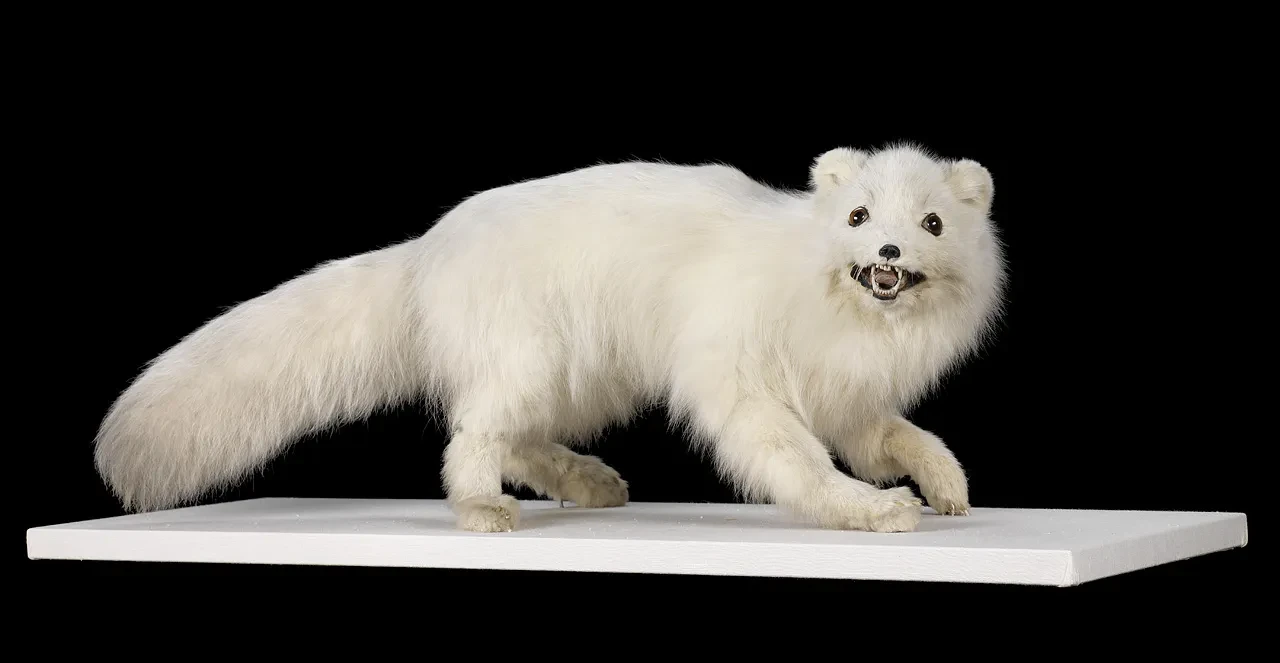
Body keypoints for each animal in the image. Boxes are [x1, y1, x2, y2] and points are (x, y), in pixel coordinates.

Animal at [94, 142, 1006, 533]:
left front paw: (945, 485)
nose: (888, 254)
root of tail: (427, 250)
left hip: (586, 379)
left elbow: (895, 436)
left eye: (930, 223)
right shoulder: (734, 371)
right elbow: (794, 457)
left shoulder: (849, 395)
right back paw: (483, 508)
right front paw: (870, 510)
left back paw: (589, 482)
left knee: (524, 439)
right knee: (473, 433)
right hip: (529, 357)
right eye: (858, 216)